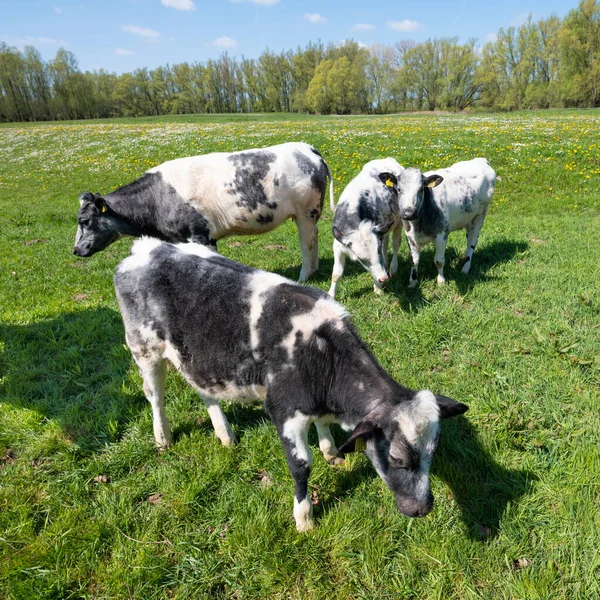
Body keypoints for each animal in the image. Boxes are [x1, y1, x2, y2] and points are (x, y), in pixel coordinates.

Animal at [73, 142, 336, 282]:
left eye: (84, 221)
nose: (75, 250)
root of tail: (307, 148)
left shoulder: (200, 233)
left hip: (306, 212)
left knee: (308, 242)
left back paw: (303, 277)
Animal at [113, 237, 468, 532]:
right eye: (396, 459)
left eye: (433, 452)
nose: (423, 508)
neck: (321, 355)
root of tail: (146, 247)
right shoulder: (284, 410)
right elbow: (301, 466)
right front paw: (304, 517)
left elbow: (324, 431)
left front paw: (331, 453)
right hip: (143, 349)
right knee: (155, 396)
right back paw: (163, 437)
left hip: (196, 359)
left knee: (204, 391)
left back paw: (224, 434)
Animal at [328, 158, 408, 298]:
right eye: (361, 259)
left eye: (377, 252)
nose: (383, 278)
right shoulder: (338, 246)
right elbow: (336, 274)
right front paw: (331, 294)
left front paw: (378, 288)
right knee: (386, 242)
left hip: (398, 223)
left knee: (395, 243)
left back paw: (393, 268)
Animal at [398, 156, 496, 288]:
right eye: (398, 189)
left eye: (421, 190)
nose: (408, 213)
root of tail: (481, 160)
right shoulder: (410, 236)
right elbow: (414, 261)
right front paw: (412, 282)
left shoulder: (441, 235)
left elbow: (439, 260)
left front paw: (441, 281)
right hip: (468, 218)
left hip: (480, 213)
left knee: (472, 241)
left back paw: (465, 268)